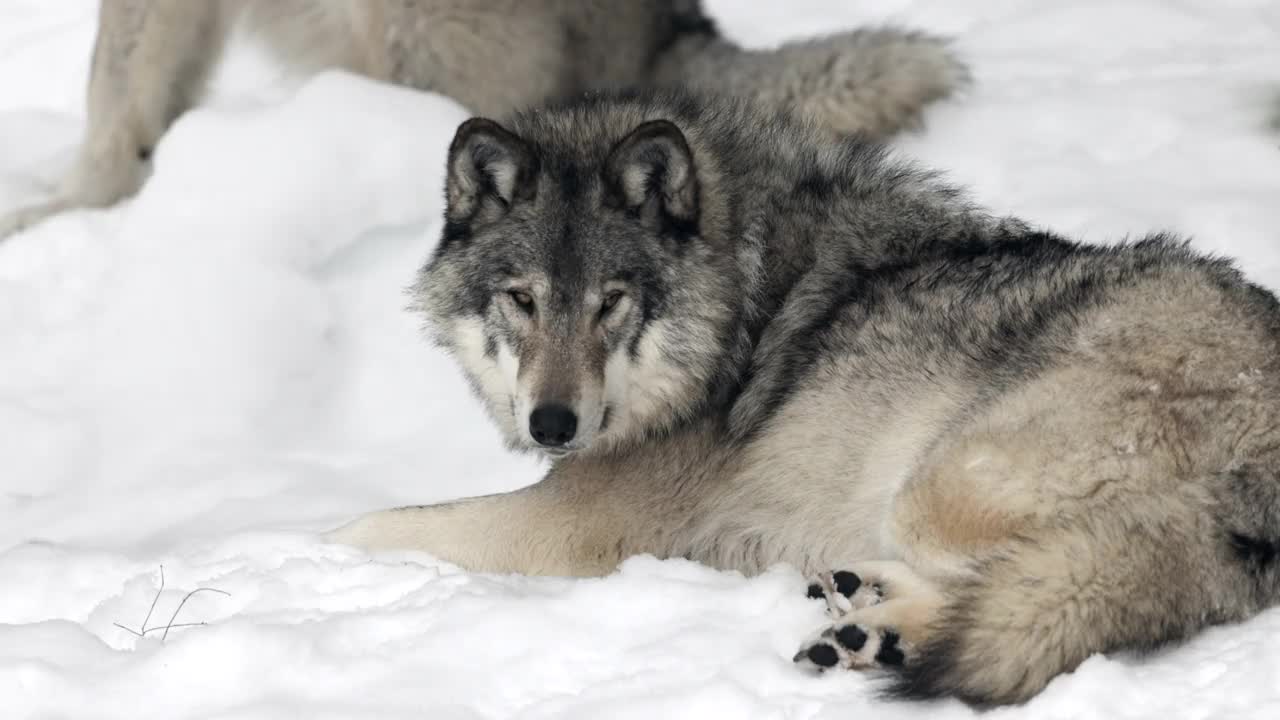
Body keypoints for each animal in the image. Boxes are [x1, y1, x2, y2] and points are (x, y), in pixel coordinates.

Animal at [327, 89, 1280, 702]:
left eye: (610, 302)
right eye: (522, 300)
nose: (552, 423)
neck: (733, 313)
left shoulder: (573, 528)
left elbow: (365, 527)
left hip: (943, 483)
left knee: (1002, 582)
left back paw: (875, 627)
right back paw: (865, 616)